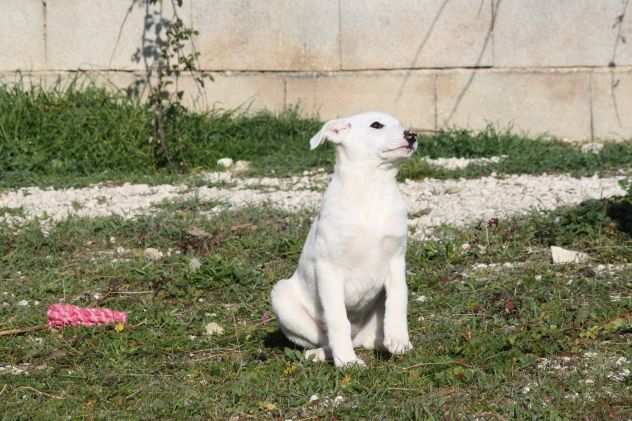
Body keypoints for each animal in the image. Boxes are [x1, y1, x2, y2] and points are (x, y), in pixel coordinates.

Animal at [270, 110, 414, 366]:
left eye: (401, 125)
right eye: (376, 125)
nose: (412, 135)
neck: (372, 188)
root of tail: (359, 338)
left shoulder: (396, 260)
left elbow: (398, 300)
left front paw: (399, 339)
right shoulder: (329, 269)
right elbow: (338, 319)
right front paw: (347, 362)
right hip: (282, 298)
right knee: (327, 337)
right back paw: (321, 353)